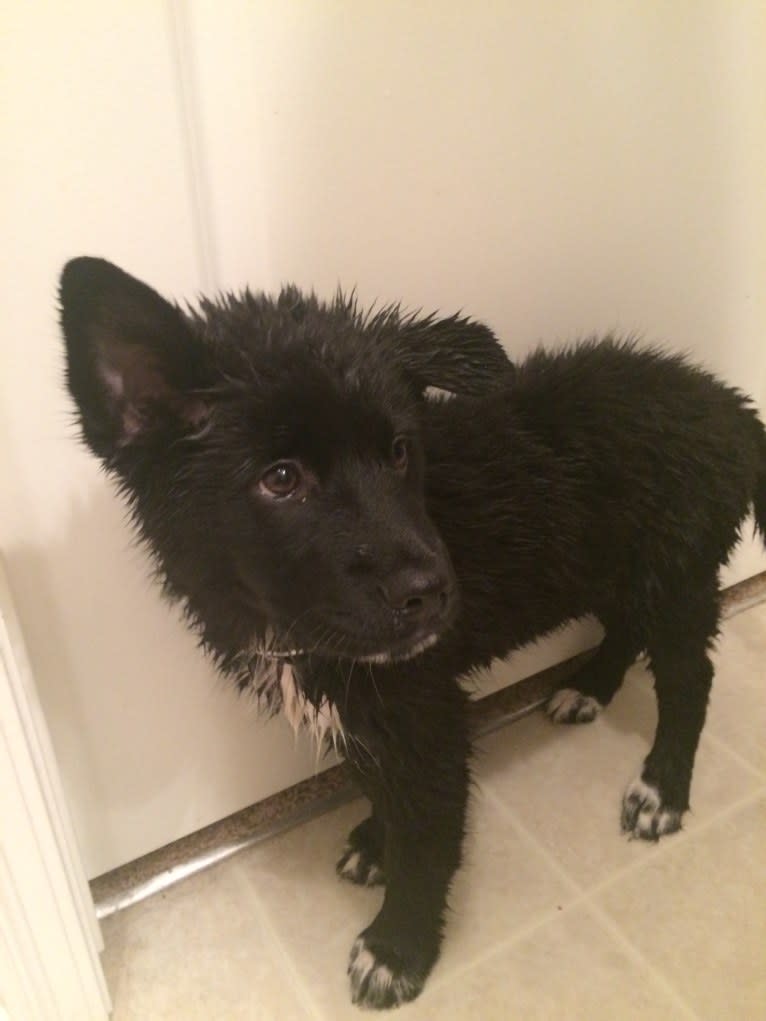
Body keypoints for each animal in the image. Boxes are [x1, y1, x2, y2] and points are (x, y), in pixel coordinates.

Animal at [61, 259, 766, 1008]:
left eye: (400, 451)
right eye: (280, 478)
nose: (434, 595)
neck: (291, 630)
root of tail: (733, 409)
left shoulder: (426, 714)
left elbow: (427, 839)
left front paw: (397, 947)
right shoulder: (366, 711)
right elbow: (377, 785)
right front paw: (377, 841)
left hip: (675, 577)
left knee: (691, 680)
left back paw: (663, 788)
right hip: (615, 570)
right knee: (626, 630)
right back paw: (589, 687)